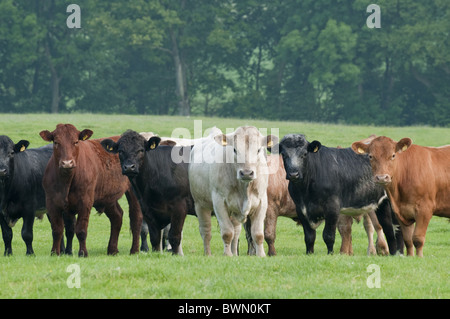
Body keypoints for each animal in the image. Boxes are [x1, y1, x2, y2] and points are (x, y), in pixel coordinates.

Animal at [40, 124, 142, 258]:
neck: (67, 180)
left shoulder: (85, 202)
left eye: (76, 142)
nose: (67, 163)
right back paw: (112, 250)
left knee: (135, 218)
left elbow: (81, 230)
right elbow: (57, 230)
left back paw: (134, 250)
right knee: (117, 216)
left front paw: (83, 253)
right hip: (107, 196)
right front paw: (54, 253)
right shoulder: (52, 203)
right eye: (56, 142)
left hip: (133, 192)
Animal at [187, 125, 278, 258]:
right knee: (206, 231)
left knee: (236, 232)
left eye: (258, 150)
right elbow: (227, 232)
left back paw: (235, 253)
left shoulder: (262, 202)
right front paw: (227, 254)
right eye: (234, 150)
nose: (246, 173)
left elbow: (257, 233)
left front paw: (261, 254)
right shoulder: (219, 202)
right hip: (201, 205)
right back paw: (208, 253)